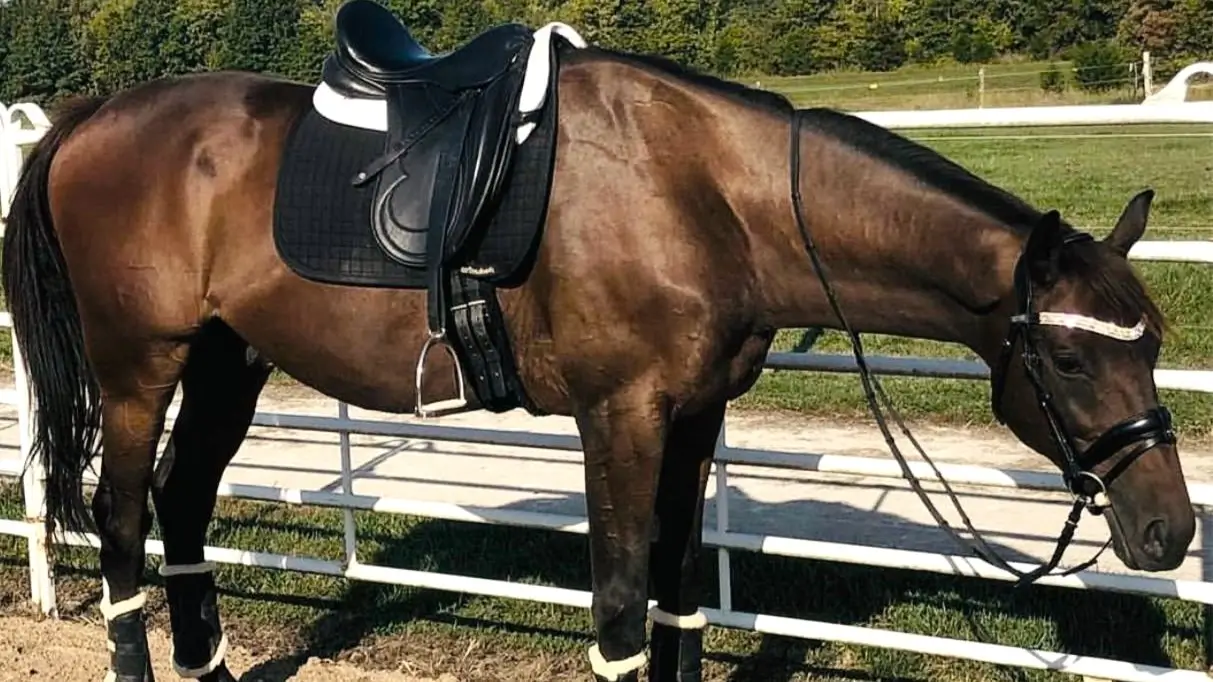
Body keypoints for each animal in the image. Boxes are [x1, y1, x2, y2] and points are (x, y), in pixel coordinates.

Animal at [0, 5, 1193, 679]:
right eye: (1071, 359)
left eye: (1151, 343)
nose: (1169, 531)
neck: (706, 196)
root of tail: (93, 114)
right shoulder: (617, 418)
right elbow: (621, 611)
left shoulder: (693, 418)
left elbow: (677, 598)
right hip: (138, 369)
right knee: (121, 519)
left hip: (226, 363)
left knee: (182, 506)